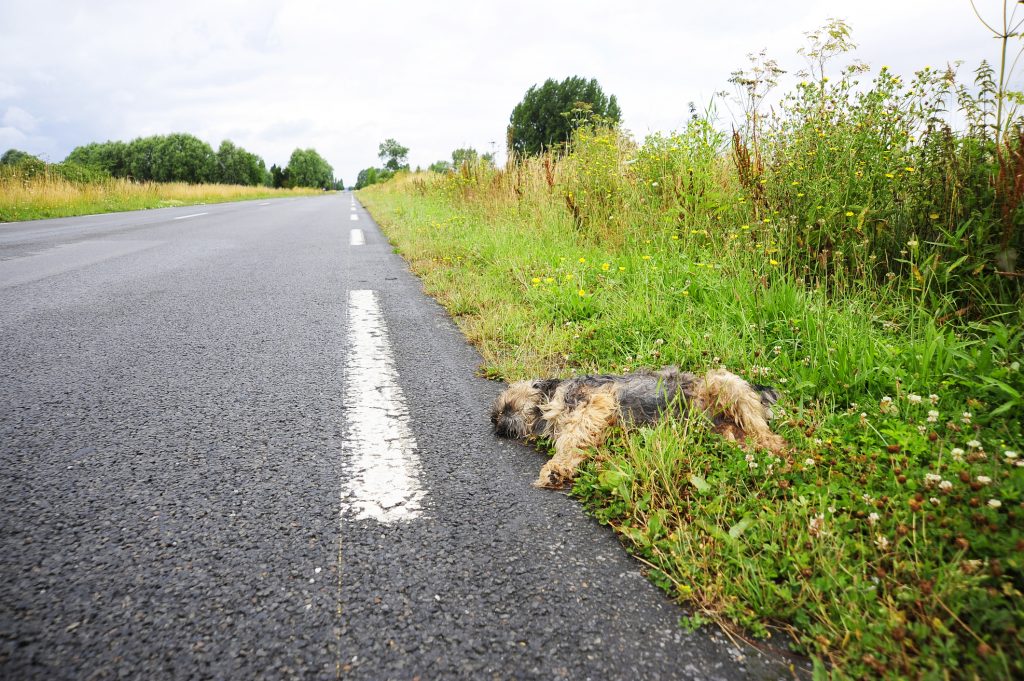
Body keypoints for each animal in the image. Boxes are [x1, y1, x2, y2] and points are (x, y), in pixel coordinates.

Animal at [491, 366, 786, 489]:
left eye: (506, 406)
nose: (493, 420)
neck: (550, 399)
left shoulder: (595, 401)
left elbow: (574, 435)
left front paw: (554, 467)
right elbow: (577, 442)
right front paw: (560, 469)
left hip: (721, 382)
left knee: (766, 433)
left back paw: (779, 453)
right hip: (722, 430)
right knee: (742, 437)